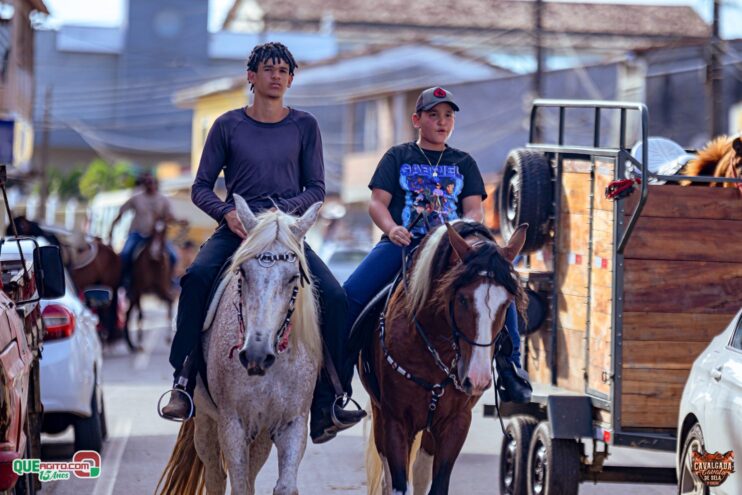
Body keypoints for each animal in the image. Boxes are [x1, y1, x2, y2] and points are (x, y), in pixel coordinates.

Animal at [125, 218, 175, 350]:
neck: (154, 263)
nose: (154, 251)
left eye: (164, 232)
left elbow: (170, 302)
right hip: (135, 292)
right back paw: (133, 343)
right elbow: (140, 314)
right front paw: (140, 342)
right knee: (130, 313)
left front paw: (168, 337)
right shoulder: (139, 290)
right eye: (152, 230)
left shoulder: (163, 289)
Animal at [157, 195, 323, 495]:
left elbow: (284, 486)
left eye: (293, 277)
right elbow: (238, 483)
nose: (256, 355)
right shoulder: (232, 423)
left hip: (262, 431)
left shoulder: (292, 423)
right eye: (243, 272)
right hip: (206, 421)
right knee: (216, 475)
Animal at [359, 220, 527, 495]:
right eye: (462, 299)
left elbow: (436, 485)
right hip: (381, 415)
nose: (476, 379)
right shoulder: (395, 421)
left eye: (507, 302)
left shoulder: (456, 423)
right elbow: (397, 484)